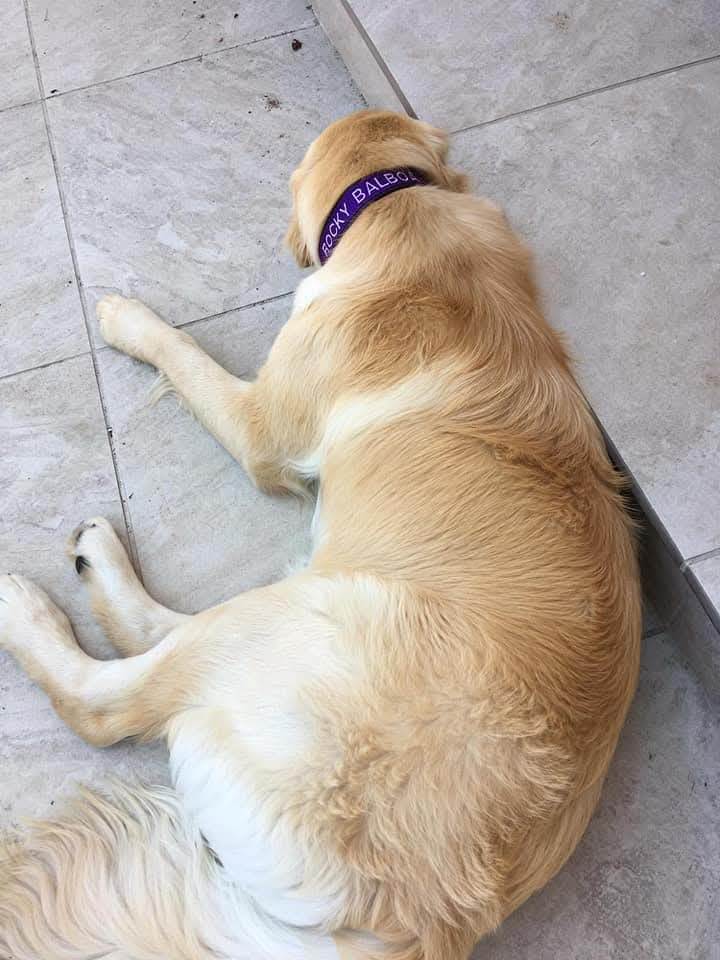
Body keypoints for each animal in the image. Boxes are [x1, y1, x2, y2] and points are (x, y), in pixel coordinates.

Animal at [0, 110, 641, 960]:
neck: (399, 203)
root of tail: (405, 919)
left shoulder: (259, 430)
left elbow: (188, 355)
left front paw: (129, 320)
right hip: (302, 602)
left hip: (305, 618)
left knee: (106, 701)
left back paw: (33, 603)